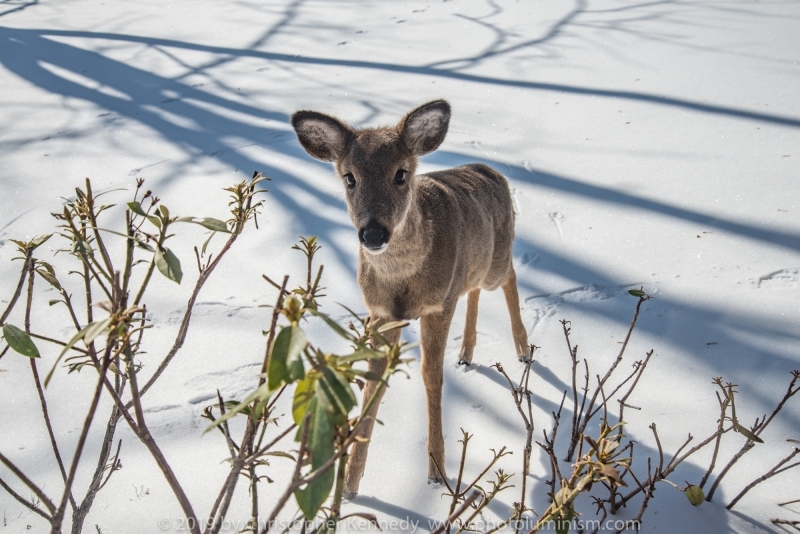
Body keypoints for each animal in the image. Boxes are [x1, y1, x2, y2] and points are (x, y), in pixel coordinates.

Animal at [290, 99, 528, 498]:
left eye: (401, 174)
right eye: (349, 177)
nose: (372, 233)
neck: (402, 279)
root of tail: (491, 171)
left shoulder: (437, 306)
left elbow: (431, 376)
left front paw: (438, 472)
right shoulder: (382, 313)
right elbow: (373, 385)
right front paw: (350, 485)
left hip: (495, 262)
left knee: (509, 275)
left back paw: (524, 350)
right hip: (471, 270)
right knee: (473, 290)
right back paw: (466, 353)